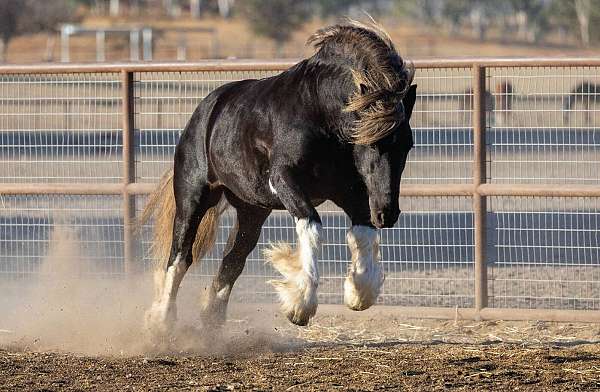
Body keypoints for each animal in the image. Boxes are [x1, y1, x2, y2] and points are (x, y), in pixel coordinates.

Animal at [142, 20, 418, 334]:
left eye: (407, 145)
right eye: (371, 143)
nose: (388, 213)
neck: (319, 113)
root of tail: (204, 111)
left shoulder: (349, 192)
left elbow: (363, 232)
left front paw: (358, 292)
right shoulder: (286, 180)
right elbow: (311, 227)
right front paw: (300, 305)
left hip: (251, 211)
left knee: (233, 260)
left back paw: (211, 320)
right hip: (193, 198)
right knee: (180, 256)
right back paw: (161, 319)